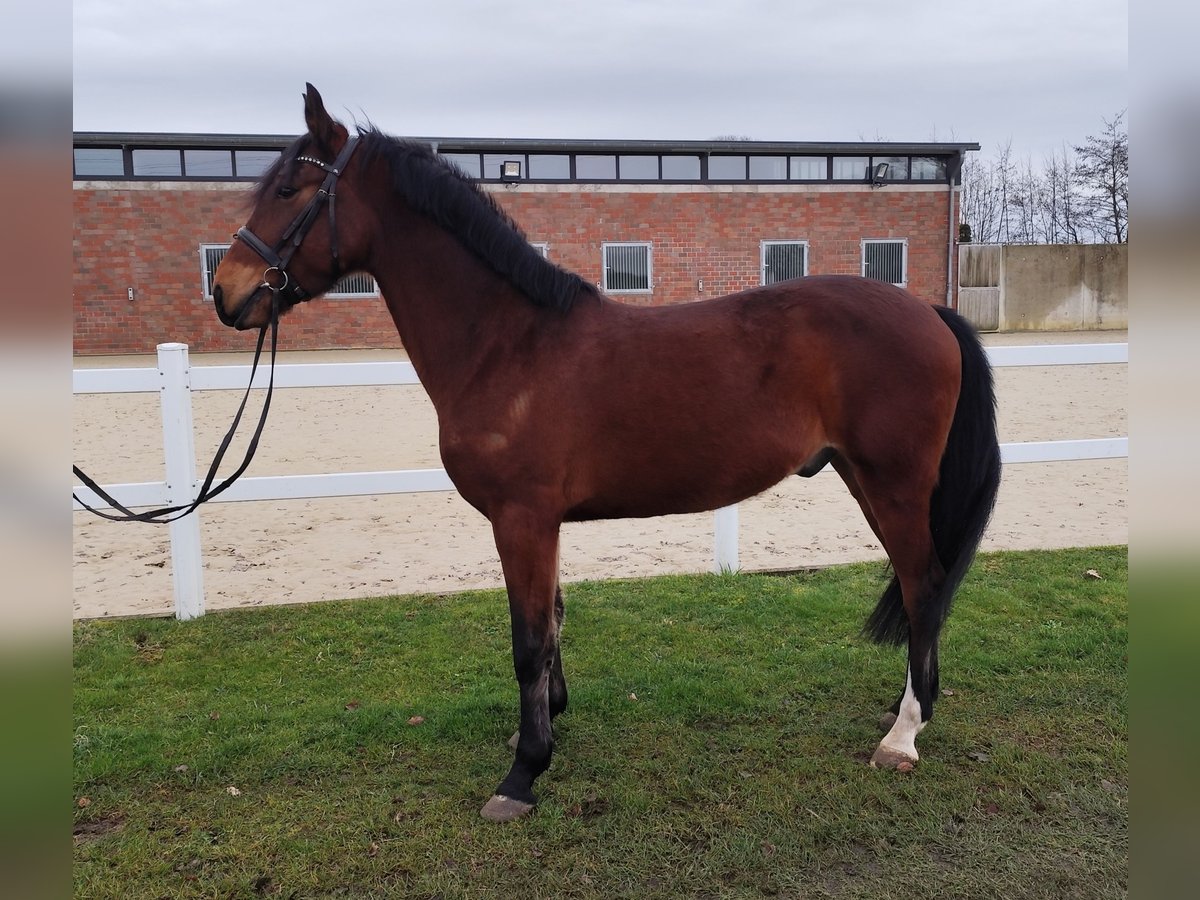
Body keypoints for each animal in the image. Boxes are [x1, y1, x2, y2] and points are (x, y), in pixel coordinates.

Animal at [213, 84, 1003, 825]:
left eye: (289, 191)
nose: (226, 292)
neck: (508, 345)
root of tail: (930, 311)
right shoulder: (541, 523)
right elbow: (554, 620)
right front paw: (543, 726)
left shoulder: (521, 518)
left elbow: (529, 639)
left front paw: (523, 774)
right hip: (864, 478)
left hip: (894, 483)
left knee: (924, 586)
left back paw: (902, 735)